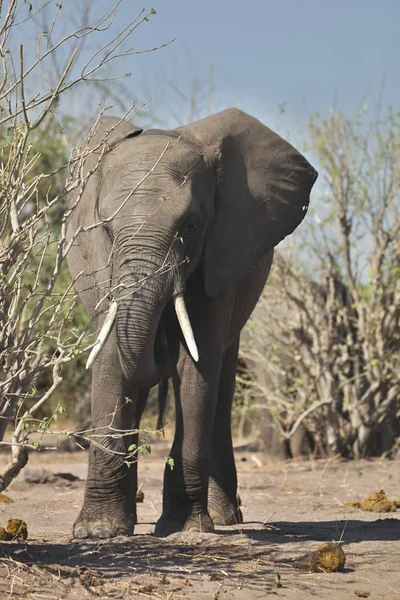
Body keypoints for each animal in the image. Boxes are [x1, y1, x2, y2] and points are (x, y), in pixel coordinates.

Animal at [65, 108, 318, 540]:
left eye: (191, 226)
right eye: (107, 229)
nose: (160, 344)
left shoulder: (223, 250)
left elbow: (196, 368)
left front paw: (184, 528)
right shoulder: (99, 265)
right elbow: (112, 355)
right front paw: (98, 532)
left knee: (222, 384)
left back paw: (223, 517)